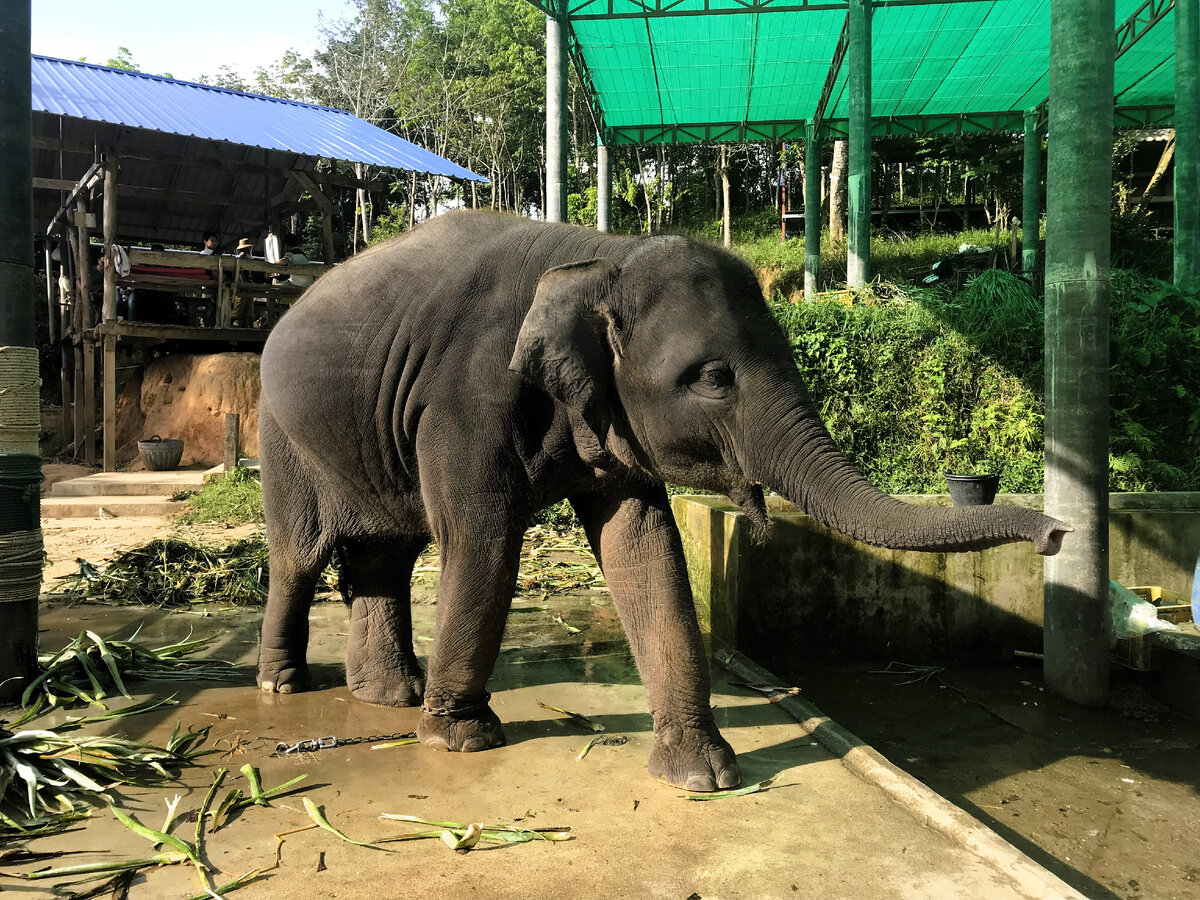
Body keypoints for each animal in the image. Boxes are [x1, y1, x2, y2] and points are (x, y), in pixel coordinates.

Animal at [255, 214, 1070, 792]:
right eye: (712, 377)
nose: (1058, 534)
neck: (597, 255)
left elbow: (644, 546)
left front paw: (704, 775)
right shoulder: (462, 404)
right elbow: (484, 543)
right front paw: (461, 738)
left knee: (385, 557)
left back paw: (392, 695)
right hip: (280, 433)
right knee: (301, 556)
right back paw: (286, 684)